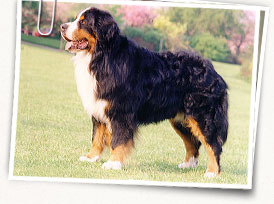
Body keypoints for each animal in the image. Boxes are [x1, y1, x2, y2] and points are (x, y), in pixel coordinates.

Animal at [60, 7, 229, 178]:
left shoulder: (120, 112)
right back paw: (188, 164)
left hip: (202, 116)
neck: (102, 58)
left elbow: (118, 140)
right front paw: (91, 158)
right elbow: (96, 137)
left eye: (83, 22)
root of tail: (213, 71)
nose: (62, 26)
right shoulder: (98, 109)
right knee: (193, 143)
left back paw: (212, 172)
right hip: (181, 120)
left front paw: (113, 163)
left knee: (213, 144)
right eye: (76, 19)